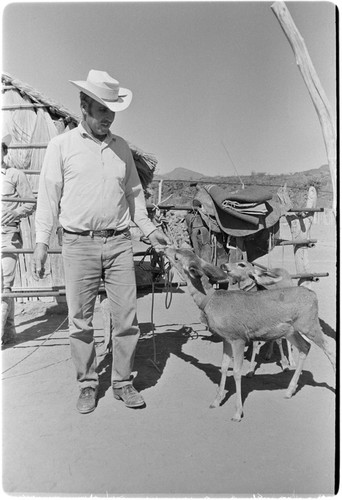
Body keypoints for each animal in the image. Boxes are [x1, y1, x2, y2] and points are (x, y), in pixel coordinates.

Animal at [164, 246, 336, 422]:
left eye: (177, 256)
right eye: (182, 250)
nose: (165, 248)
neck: (211, 301)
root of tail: (313, 295)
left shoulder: (238, 338)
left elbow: (237, 371)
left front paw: (237, 413)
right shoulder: (226, 338)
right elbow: (224, 367)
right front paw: (216, 401)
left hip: (310, 324)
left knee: (329, 349)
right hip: (292, 330)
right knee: (305, 347)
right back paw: (289, 390)